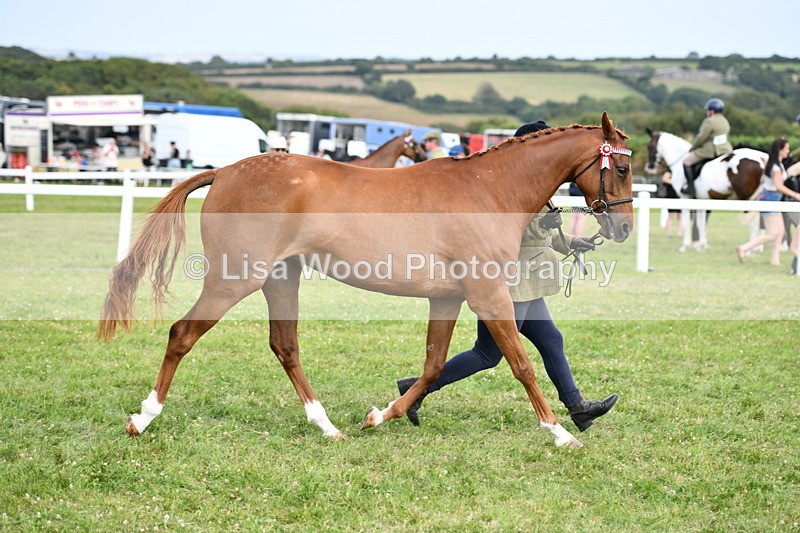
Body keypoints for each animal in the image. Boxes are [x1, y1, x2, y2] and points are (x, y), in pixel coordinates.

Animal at [98, 112, 634, 449]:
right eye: (624, 166)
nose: (623, 228)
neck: (489, 190)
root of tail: (226, 172)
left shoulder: (448, 298)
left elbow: (434, 365)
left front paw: (383, 414)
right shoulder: (488, 293)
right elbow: (522, 363)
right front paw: (560, 433)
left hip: (280, 278)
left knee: (285, 345)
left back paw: (326, 426)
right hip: (236, 278)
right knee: (182, 334)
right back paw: (142, 419)